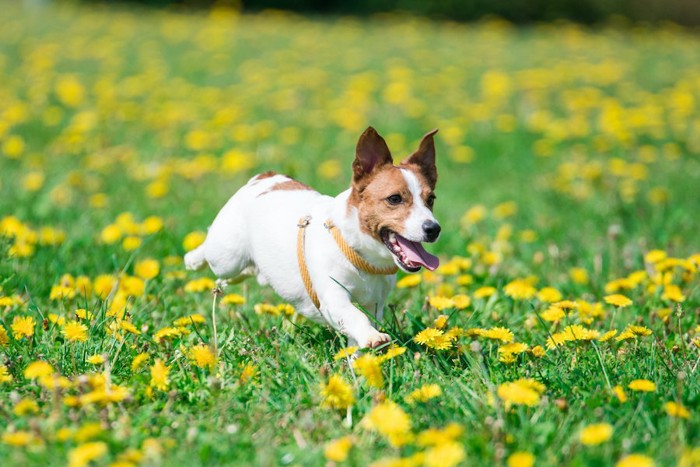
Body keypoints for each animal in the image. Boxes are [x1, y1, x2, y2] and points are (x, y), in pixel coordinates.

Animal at [183, 126, 440, 350]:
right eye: (394, 199)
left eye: (431, 199)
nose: (434, 228)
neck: (362, 255)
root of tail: (265, 177)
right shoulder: (333, 298)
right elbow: (354, 315)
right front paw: (372, 337)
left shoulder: (374, 304)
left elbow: (359, 329)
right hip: (226, 256)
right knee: (211, 253)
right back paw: (193, 258)